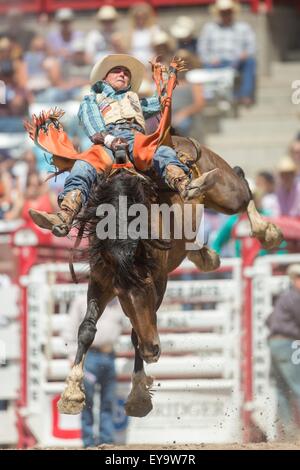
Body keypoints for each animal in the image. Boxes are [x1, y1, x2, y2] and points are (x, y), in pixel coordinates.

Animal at [57, 138, 282, 416]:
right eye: (121, 297)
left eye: (148, 288)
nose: (153, 350)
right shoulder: (101, 281)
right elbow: (86, 329)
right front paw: (72, 394)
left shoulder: (160, 281)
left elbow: (137, 332)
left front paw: (138, 396)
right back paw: (206, 256)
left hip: (227, 194)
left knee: (243, 185)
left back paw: (266, 231)